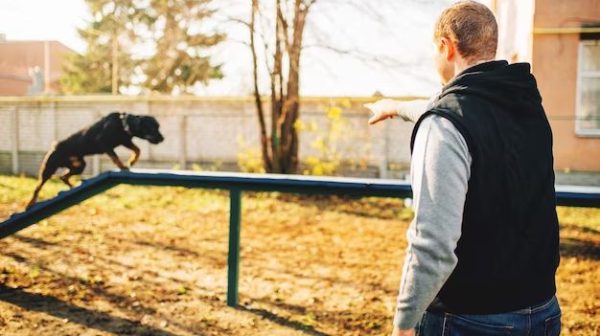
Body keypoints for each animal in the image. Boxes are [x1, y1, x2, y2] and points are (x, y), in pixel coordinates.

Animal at [26, 112, 164, 207]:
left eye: (158, 126)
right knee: (38, 187)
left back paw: (72, 187)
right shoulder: (104, 143)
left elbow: (137, 150)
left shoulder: (125, 141)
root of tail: (54, 145)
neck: (122, 124)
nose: (163, 138)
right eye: (152, 127)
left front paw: (131, 161)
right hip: (48, 169)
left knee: (63, 176)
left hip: (80, 165)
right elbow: (115, 157)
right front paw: (122, 166)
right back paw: (30, 203)